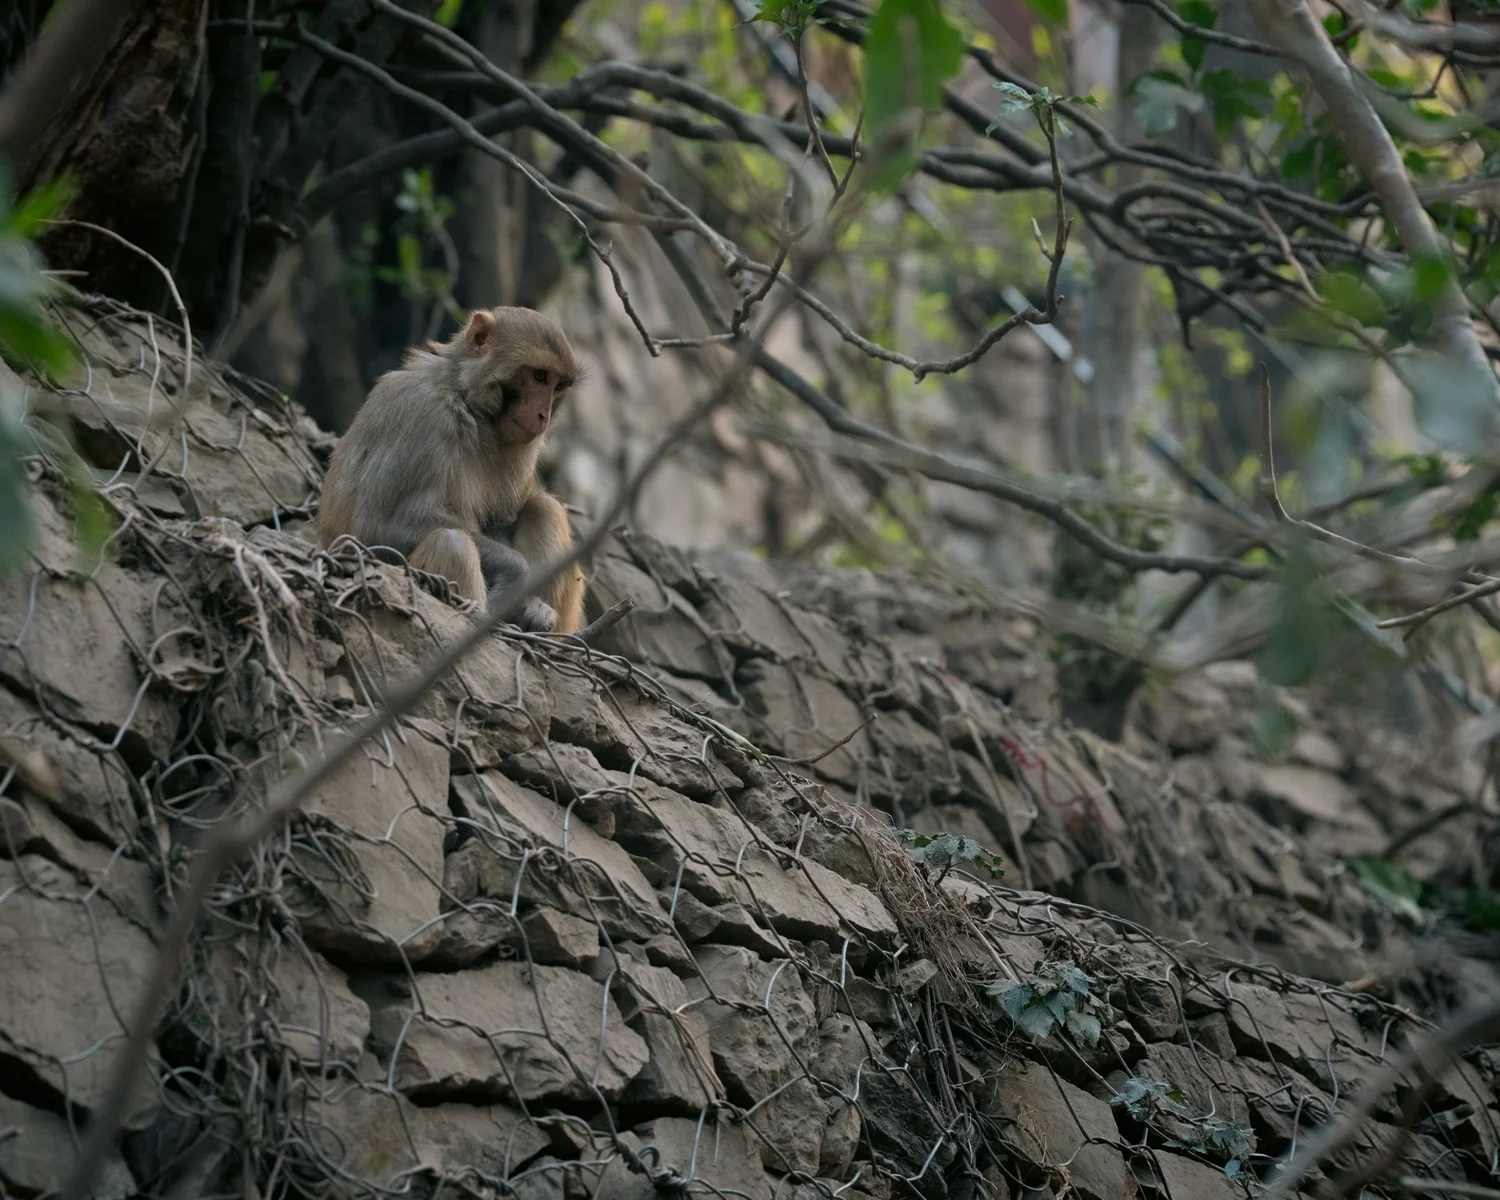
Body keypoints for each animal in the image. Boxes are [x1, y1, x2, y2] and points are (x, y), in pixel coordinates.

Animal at [316, 306, 587, 635]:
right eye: (539, 376)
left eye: (558, 386)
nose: (543, 415)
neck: (468, 403)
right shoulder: (424, 413)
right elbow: (378, 526)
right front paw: (513, 572)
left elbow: (499, 523)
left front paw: (527, 605)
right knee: (451, 543)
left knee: (544, 508)